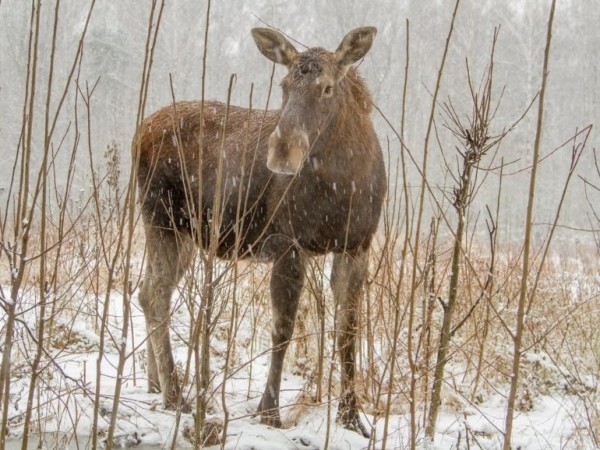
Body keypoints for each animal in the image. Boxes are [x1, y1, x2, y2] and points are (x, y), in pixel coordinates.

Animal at [135, 27, 386, 436]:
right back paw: (176, 396)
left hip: (185, 234)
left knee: (146, 290)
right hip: (161, 219)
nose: (283, 149)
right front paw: (269, 413)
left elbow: (348, 332)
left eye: (327, 88)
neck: (344, 183)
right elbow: (283, 329)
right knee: (156, 295)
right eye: (284, 86)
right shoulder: (288, 241)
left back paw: (155, 383)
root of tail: (139, 131)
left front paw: (352, 417)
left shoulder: (357, 246)